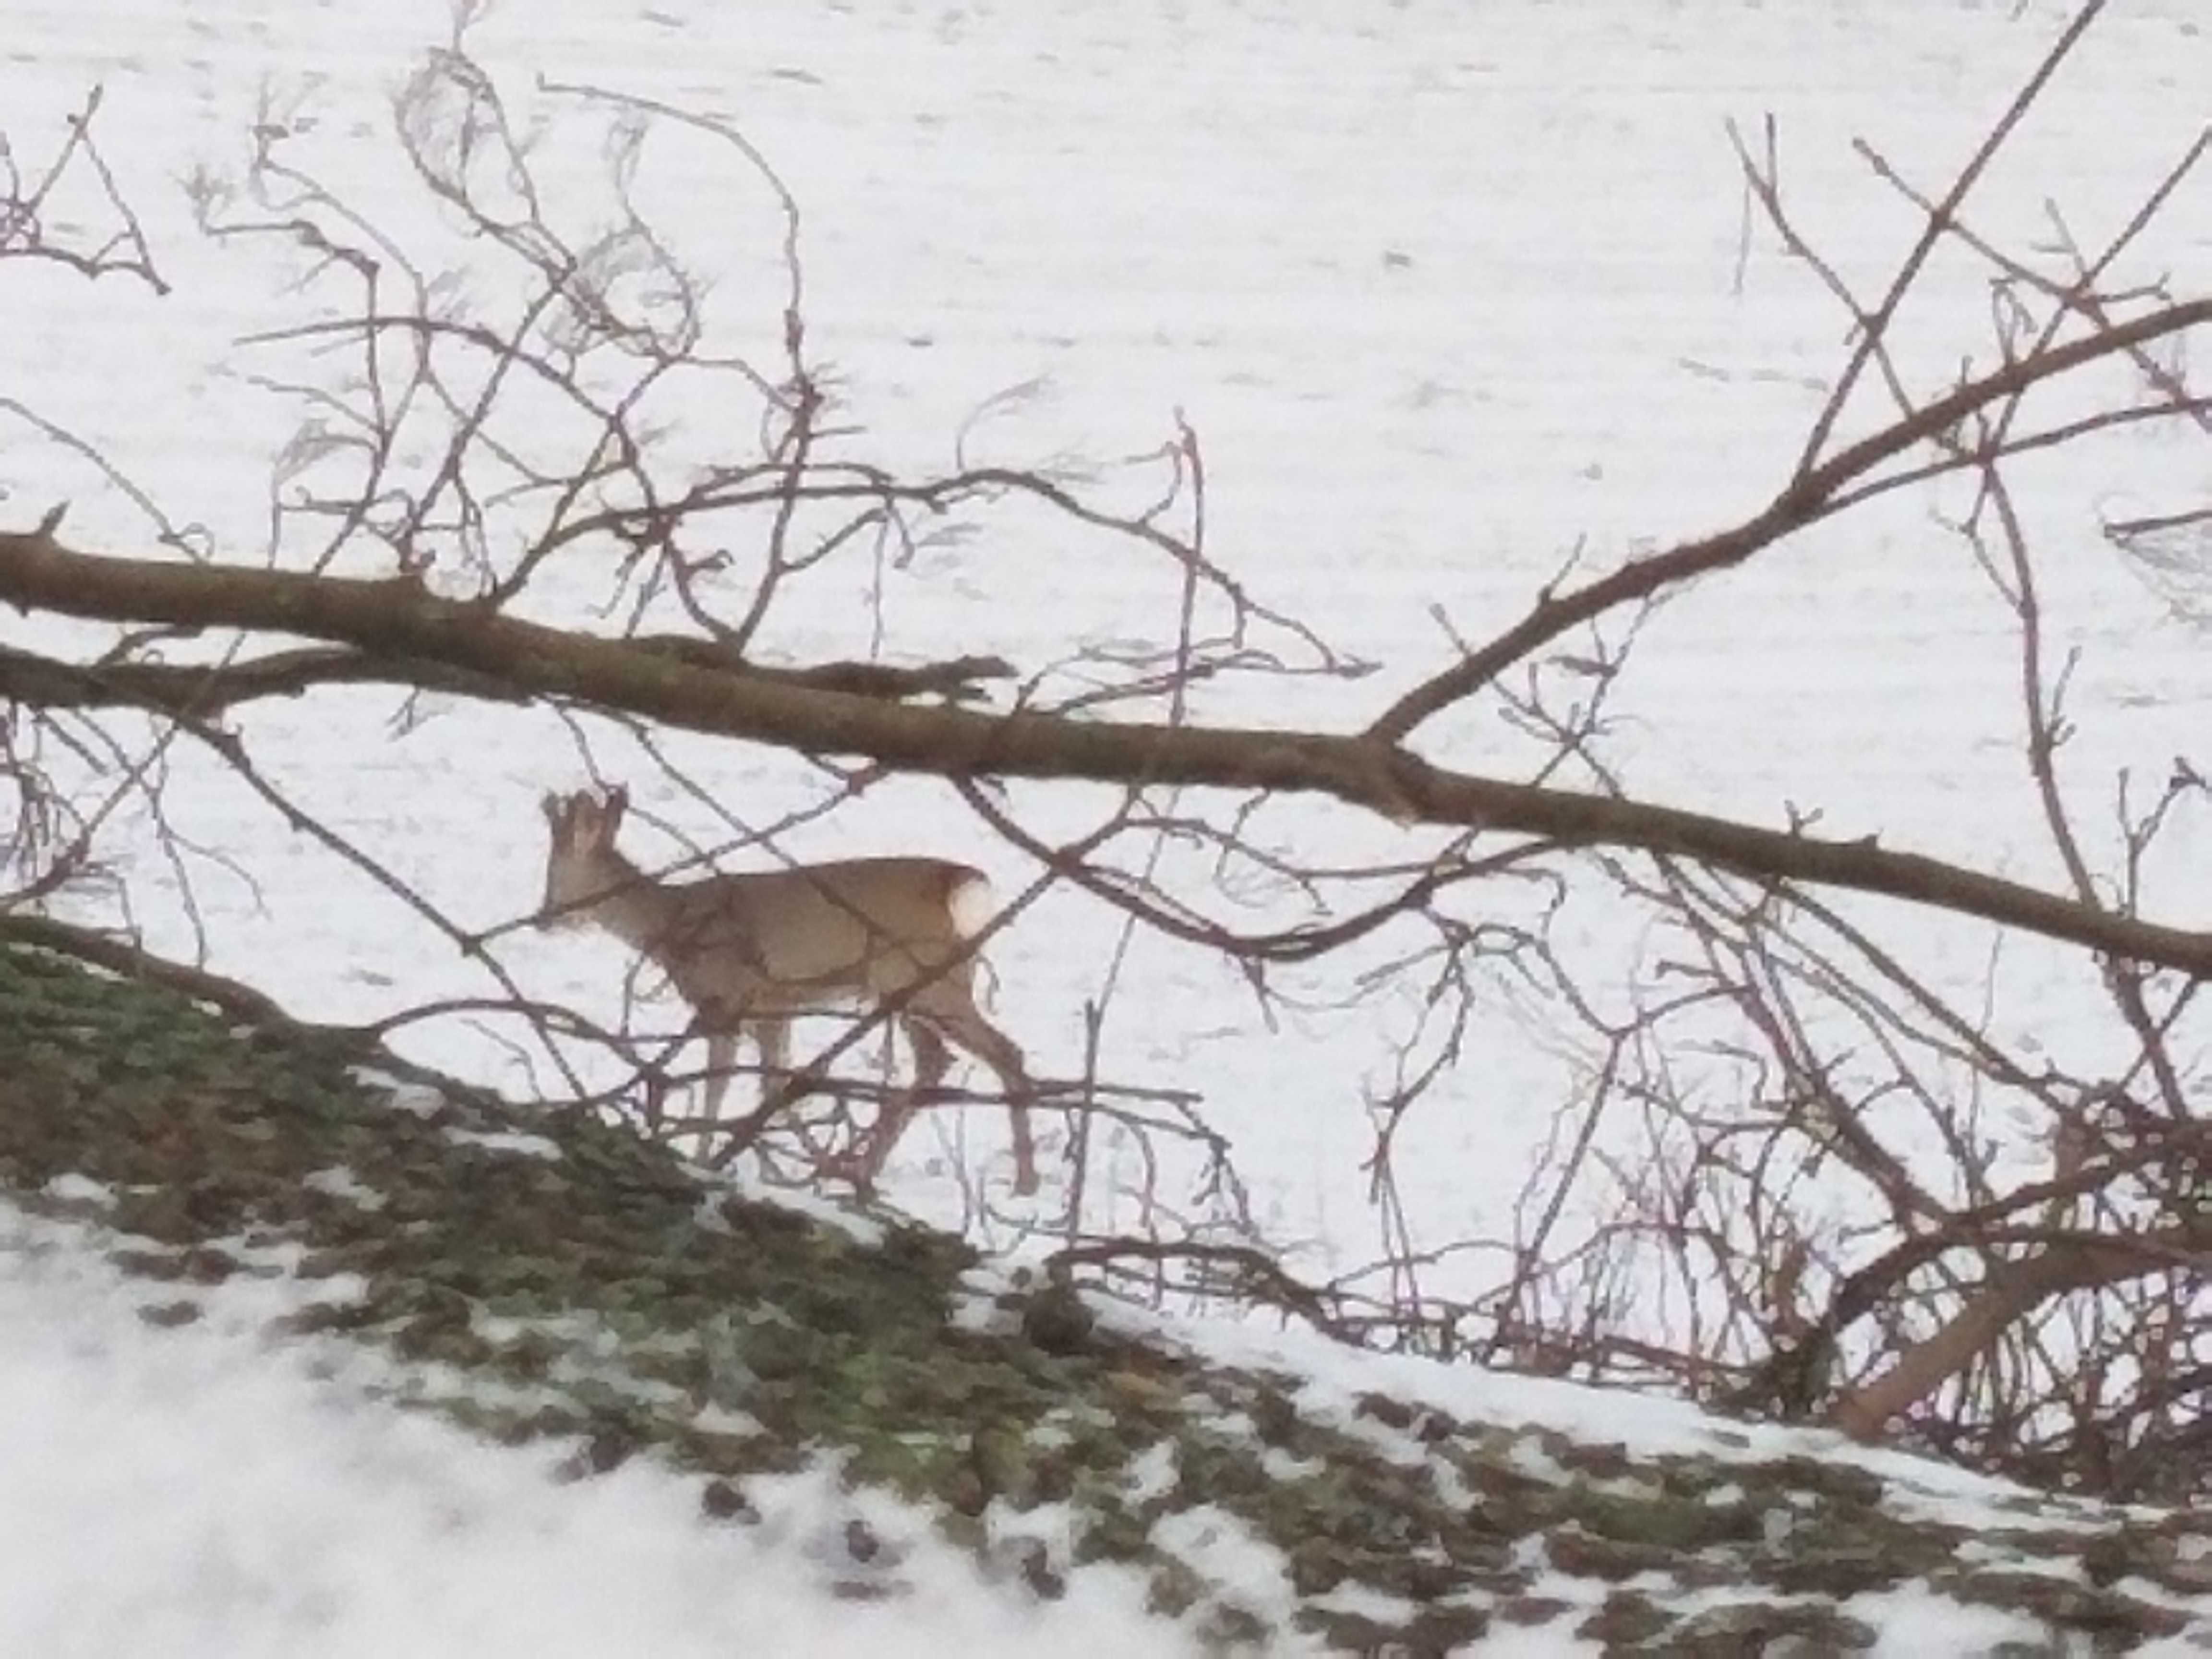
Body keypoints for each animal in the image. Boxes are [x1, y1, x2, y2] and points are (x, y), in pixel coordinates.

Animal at [530, 787, 1039, 1194]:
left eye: (555, 876)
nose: (541, 918)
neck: (676, 927)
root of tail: (963, 883)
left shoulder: (739, 997)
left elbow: (741, 1084)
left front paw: (716, 1161)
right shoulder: (767, 1007)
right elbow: (772, 1081)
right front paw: (771, 1165)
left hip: (926, 979)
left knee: (1004, 1052)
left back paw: (1024, 1182)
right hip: (910, 989)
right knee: (936, 1061)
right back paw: (863, 1169)